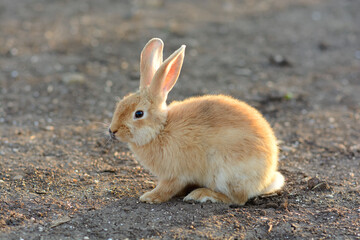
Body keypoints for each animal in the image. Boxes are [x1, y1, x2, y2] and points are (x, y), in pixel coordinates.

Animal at [107, 38, 284, 204]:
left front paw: (149, 197)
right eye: (121, 103)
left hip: (226, 173)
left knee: (236, 199)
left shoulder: (175, 174)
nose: (112, 131)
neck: (160, 130)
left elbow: (167, 188)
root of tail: (265, 180)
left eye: (138, 114)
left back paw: (202, 194)